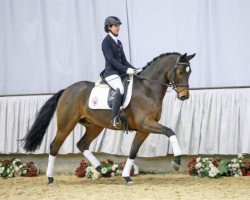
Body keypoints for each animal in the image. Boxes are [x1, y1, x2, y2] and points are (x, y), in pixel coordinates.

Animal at [22, 51, 195, 184]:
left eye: (189, 72)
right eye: (180, 72)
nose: (184, 96)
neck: (148, 89)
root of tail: (67, 90)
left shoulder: (143, 129)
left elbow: (133, 151)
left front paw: (126, 177)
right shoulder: (146, 124)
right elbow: (170, 131)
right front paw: (176, 162)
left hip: (94, 126)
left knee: (82, 144)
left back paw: (101, 169)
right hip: (66, 124)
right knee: (54, 146)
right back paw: (50, 178)